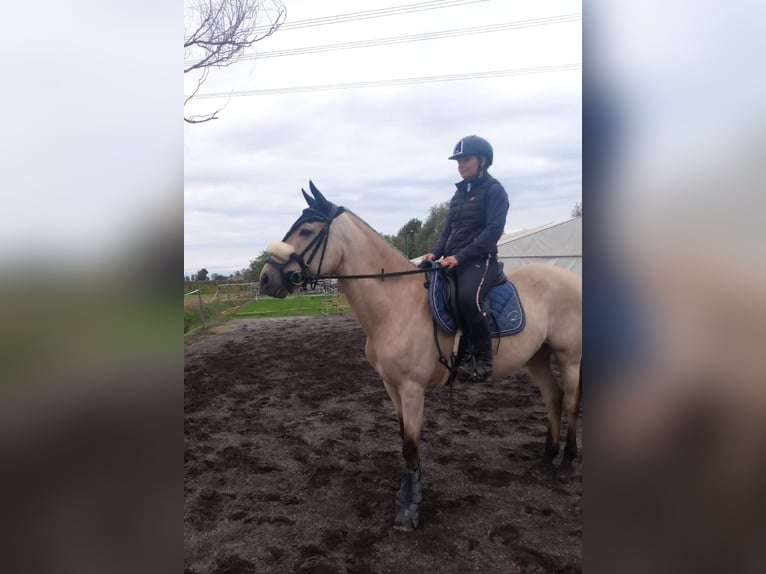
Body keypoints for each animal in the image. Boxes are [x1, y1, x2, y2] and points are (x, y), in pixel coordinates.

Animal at [260, 182, 584, 532]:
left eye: (306, 230)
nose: (265, 278)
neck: (396, 303)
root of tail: (573, 280)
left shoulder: (412, 389)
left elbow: (411, 446)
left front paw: (409, 512)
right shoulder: (392, 386)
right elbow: (405, 440)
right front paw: (406, 495)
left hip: (569, 356)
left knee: (570, 401)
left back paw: (567, 460)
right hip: (536, 356)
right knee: (553, 397)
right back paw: (547, 457)